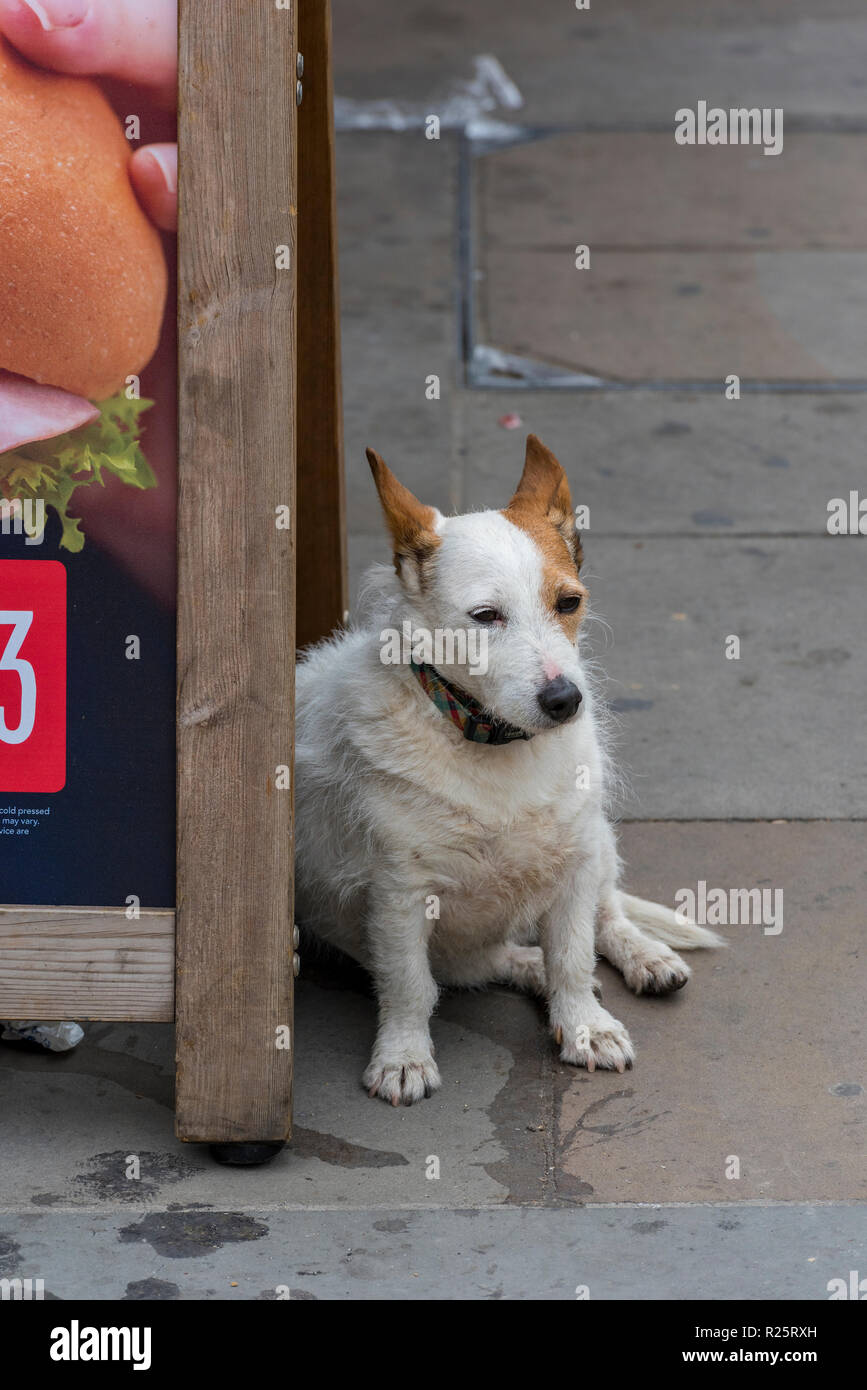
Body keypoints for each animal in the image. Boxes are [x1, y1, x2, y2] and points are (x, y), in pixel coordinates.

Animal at [294, 433, 722, 1106]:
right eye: (485, 616)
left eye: (569, 602)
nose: (566, 700)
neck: (494, 745)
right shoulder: (398, 895)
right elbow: (409, 985)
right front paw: (403, 1056)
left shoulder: (573, 865)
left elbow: (573, 955)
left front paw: (584, 1026)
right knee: (484, 963)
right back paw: (526, 967)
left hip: (597, 841)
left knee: (608, 913)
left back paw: (643, 956)